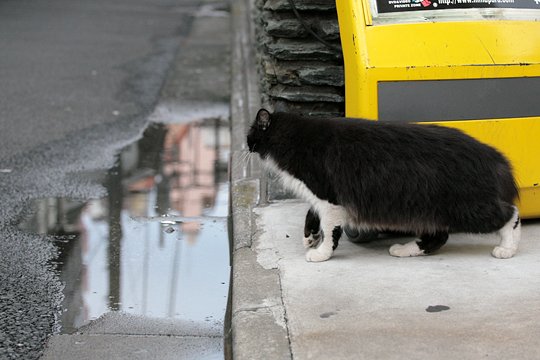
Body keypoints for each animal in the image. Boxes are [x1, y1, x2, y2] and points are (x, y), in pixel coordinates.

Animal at [247, 109, 520, 262]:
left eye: (250, 134)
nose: (246, 144)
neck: (295, 137)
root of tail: (495, 157)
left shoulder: (328, 197)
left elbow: (330, 229)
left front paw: (322, 253)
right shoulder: (323, 195)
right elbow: (311, 214)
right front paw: (310, 237)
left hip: (464, 208)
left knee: (510, 215)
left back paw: (507, 249)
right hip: (431, 209)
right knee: (437, 237)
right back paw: (404, 250)